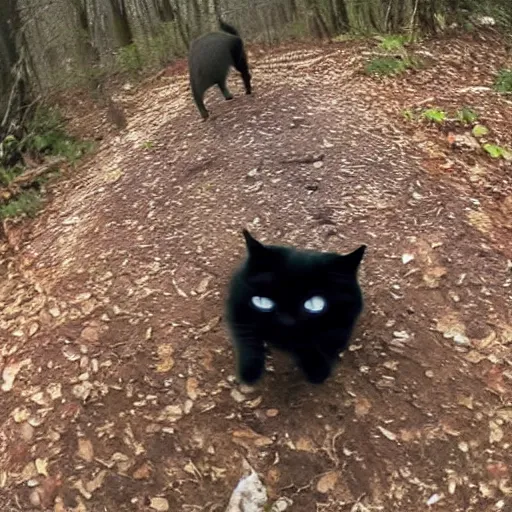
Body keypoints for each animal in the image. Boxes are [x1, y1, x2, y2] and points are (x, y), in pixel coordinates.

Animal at [226, 231, 366, 384]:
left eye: (314, 304)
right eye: (262, 302)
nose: (286, 321)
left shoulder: (343, 324)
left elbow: (323, 344)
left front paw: (317, 370)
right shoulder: (237, 310)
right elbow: (248, 339)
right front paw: (249, 372)